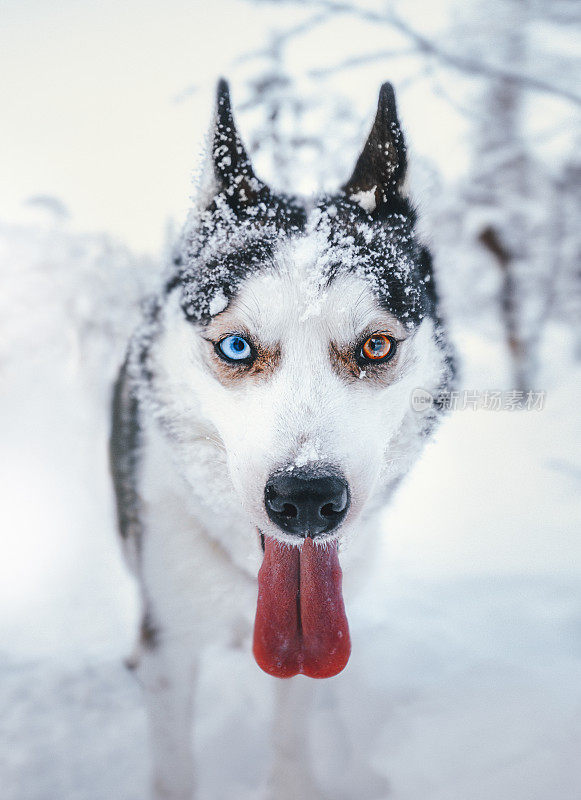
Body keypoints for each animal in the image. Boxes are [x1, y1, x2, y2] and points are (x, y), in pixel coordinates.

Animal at [110, 76, 454, 800]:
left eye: (375, 346)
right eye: (236, 346)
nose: (307, 499)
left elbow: (291, 731)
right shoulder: (171, 643)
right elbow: (174, 765)